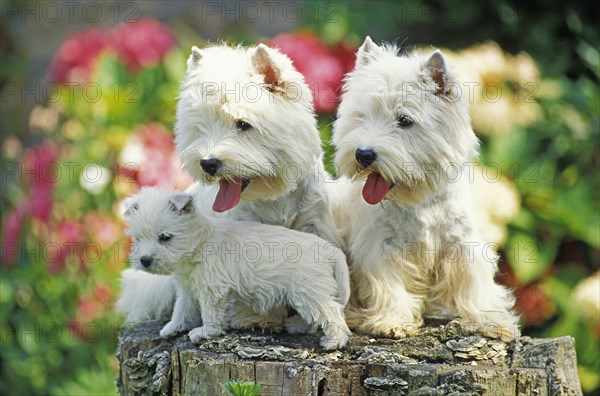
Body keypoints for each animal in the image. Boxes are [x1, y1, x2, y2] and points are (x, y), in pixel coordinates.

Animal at [126, 188, 352, 350]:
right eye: (138, 238)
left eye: (165, 237)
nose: (144, 260)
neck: (200, 243)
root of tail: (328, 249)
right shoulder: (188, 289)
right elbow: (181, 309)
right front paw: (172, 328)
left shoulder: (212, 291)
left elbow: (210, 314)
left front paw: (205, 332)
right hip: (306, 294)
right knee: (314, 318)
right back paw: (297, 326)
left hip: (309, 292)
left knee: (331, 312)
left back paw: (334, 342)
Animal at [332, 35, 520, 342]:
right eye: (361, 116)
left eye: (405, 120)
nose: (363, 155)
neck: (419, 201)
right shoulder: (380, 246)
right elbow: (390, 284)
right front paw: (392, 321)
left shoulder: (462, 244)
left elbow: (475, 286)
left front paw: (492, 321)